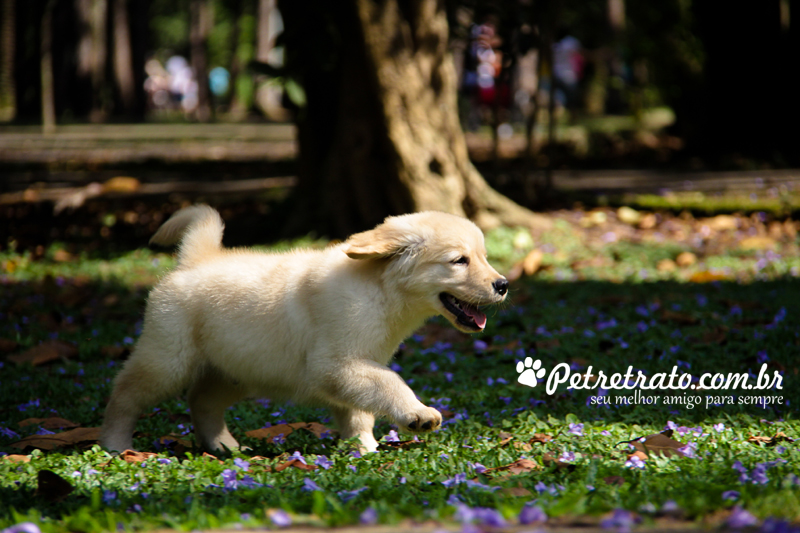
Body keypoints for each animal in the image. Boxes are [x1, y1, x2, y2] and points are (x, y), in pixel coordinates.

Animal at [100, 206, 510, 450]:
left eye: (484, 257)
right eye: (459, 260)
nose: (503, 284)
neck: (380, 290)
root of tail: (196, 260)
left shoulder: (353, 368)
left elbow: (358, 409)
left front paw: (362, 447)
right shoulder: (335, 365)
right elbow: (388, 383)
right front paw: (417, 414)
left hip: (236, 370)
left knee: (201, 401)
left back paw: (225, 447)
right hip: (167, 359)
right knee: (124, 393)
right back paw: (116, 444)